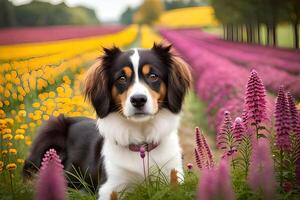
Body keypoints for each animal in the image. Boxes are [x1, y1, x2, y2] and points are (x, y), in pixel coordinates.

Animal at [23, 43, 192, 199]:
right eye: (122, 78)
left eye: (153, 76)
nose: (138, 100)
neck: (141, 144)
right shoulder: (110, 187)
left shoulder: (173, 176)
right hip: (51, 130)